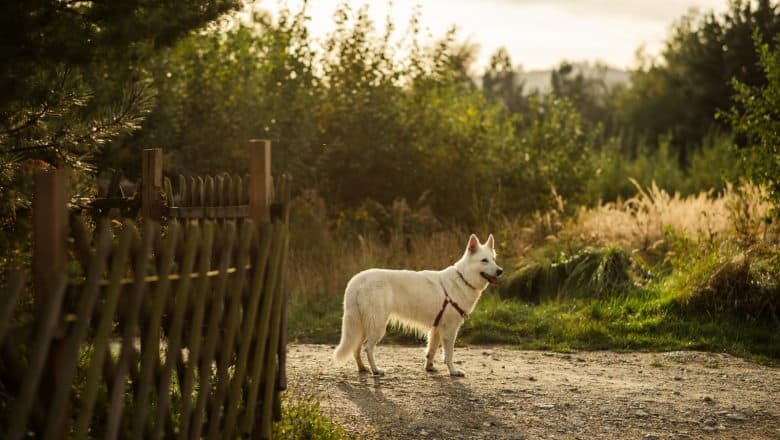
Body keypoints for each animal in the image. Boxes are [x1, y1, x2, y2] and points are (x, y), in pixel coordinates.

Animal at [332, 235, 502, 376]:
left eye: (494, 259)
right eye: (484, 260)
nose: (500, 271)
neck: (463, 278)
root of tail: (357, 280)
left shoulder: (436, 329)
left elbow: (431, 351)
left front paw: (429, 367)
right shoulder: (450, 329)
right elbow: (448, 355)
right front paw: (453, 371)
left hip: (362, 326)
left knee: (356, 348)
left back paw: (362, 368)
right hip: (377, 326)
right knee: (367, 348)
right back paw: (376, 370)